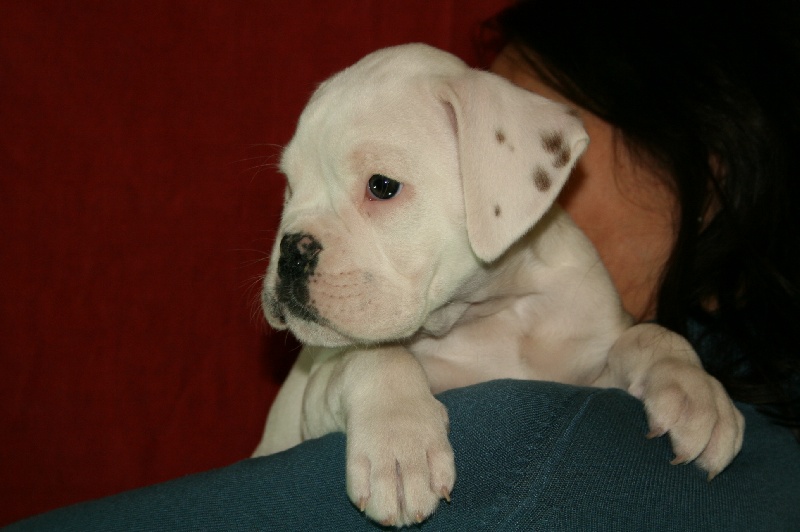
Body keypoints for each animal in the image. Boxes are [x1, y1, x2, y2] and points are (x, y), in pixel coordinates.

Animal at [253, 44, 744, 527]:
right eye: (289, 187)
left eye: (383, 186)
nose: (291, 250)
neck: (488, 315)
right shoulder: (313, 398)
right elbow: (376, 357)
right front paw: (399, 441)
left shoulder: (591, 371)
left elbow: (649, 335)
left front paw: (695, 391)